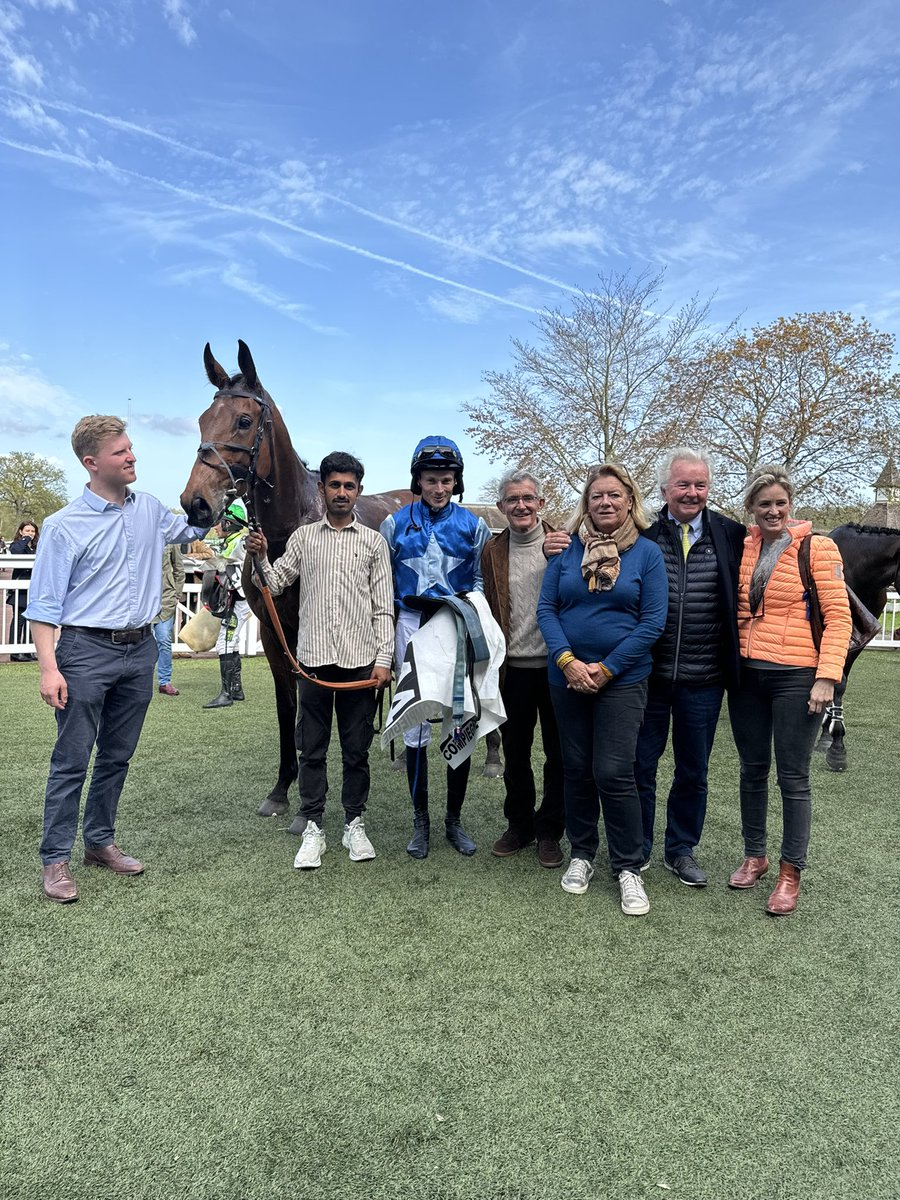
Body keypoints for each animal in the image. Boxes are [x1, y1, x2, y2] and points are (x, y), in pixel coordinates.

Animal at [180, 340, 412, 825]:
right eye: (202, 419)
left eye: (244, 420)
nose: (195, 503)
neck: (295, 526)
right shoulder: (273, 631)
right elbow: (290, 708)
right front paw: (283, 787)